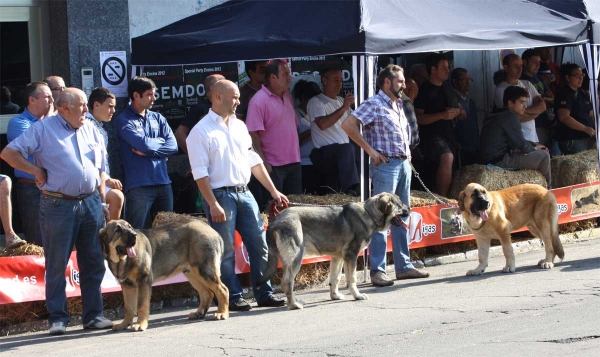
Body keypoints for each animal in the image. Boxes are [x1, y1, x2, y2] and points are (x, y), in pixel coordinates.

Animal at [98, 218, 230, 330]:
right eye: (118, 230)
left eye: (130, 227)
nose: (134, 235)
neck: (122, 260)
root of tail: (211, 230)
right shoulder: (127, 286)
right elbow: (128, 307)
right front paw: (124, 324)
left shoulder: (143, 281)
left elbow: (141, 305)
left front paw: (140, 324)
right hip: (192, 273)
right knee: (207, 293)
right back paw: (199, 313)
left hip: (204, 270)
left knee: (223, 289)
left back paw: (222, 313)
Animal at [260, 192, 410, 308]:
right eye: (400, 204)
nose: (410, 207)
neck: (369, 213)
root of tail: (274, 222)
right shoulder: (351, 255)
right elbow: (352, 279)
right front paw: (357, 296)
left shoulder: (338, 258)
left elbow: (335, 279)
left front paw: (335, 296)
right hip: (296, 258)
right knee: (287, 283)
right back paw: (294, 305)